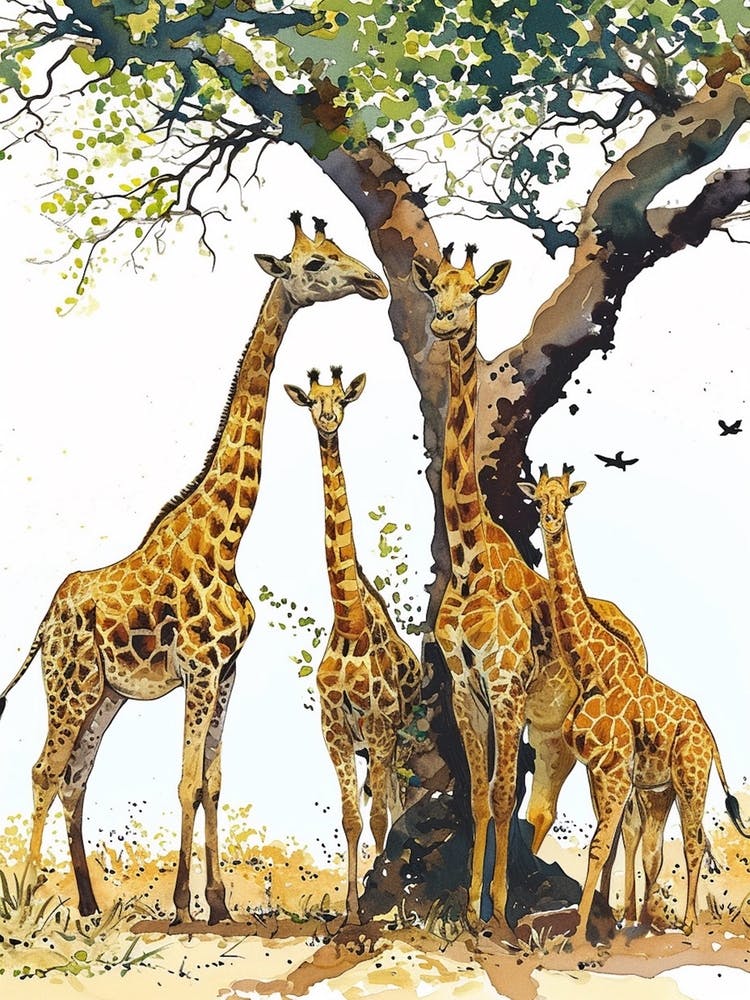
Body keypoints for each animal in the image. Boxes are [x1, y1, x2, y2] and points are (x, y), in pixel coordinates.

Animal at [0, 213, 388, 924]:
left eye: (339, 246)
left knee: (75, 776)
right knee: (45, 769)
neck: (226, 538)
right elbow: (185, 782)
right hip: (69, 684)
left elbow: (212, 781)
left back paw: (89, 906)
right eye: (314, 263)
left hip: (106, 694)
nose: (373, 280)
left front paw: (219, 904)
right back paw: (24, 905)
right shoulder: (201, 669)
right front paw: (184, 907)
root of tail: (45, 622)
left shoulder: (228, 670)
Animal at [411, 244, 648, 938]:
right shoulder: (465, 687)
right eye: (434, 287)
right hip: (554, 738)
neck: (468, 560)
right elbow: (479, 794)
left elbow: (496, 792)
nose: (442, 322)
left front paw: (494, 914)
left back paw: (609, 917)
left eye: (472, 292)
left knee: (616, 812)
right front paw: (469, 910)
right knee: (549, 809)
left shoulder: (506, 684)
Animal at [520, 467, 750, 944]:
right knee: (659, 845)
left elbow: (599, 844)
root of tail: (710, 737)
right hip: (662, 787)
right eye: (537, 500)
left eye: (566, 500)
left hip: (691, 778)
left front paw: (578, 935)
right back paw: (645, 918)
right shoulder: (597, 768)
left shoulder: (612, 769)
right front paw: (606, 919)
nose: (550, 523)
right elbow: (609, 844)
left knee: (693, 840)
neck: (591, 667)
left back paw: (686, 922)